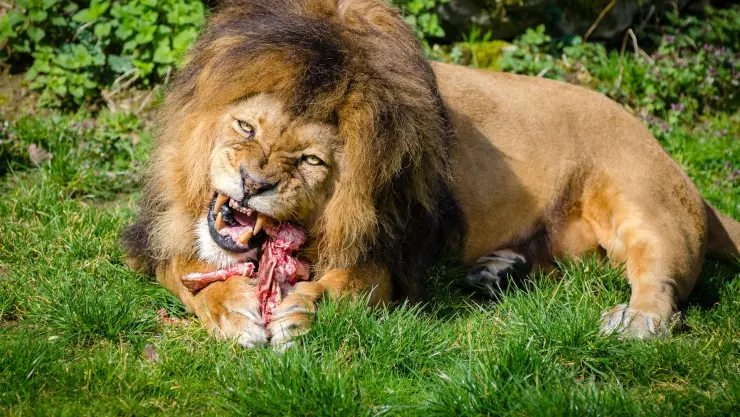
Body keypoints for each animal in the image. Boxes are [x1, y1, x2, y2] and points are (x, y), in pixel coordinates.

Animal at [123, 0, 740, 347]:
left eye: (311, 161)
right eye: (247, 127)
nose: (254, 184)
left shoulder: (393, 257)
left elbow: (350, 284)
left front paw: (302, 308)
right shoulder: (160, 234)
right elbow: (189, 273)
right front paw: (234, 311)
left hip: (643, 202)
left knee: (661, 282)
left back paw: (636, 322)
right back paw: (497, 270)